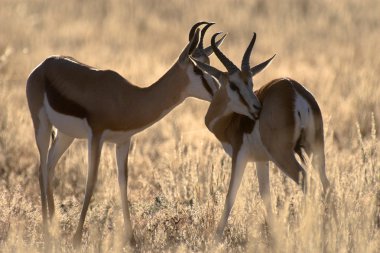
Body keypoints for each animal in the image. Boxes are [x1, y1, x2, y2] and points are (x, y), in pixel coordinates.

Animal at [26, 22, 226, 247]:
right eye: (197, 68)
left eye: (208, 63)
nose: (218, 91)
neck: (127, 98)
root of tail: (44, 65)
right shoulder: (96, 137)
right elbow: (91, 182)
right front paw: (77, 238)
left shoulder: (123, 141)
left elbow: (123, 182)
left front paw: (131, 239)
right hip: (42, 126)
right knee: (41, 168)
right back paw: (46, 230)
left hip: (65, 135)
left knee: (49, 167)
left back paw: (53, 227)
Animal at [193, 33, 330, 237]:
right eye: (234, 84)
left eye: (250, 82)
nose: (257, 107)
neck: (231, 119)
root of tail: (293, 89)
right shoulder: (261, 160)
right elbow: (266, 195)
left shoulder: (240, 155)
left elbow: (230, 196)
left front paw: (216, 236)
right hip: (315, 147)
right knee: (326, 184)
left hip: (283, 155)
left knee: (307, 181)